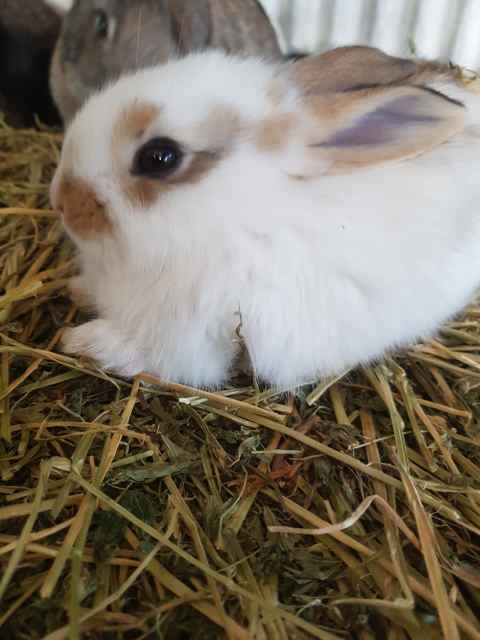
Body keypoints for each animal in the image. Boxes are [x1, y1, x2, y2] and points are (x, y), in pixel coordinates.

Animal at [50, 45, 480, 390]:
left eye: (159, 157)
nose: (60, 200)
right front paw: (76, 289)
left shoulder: (187, 335)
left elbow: (150, 356)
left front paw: (81, 342)